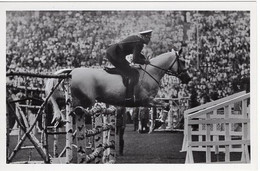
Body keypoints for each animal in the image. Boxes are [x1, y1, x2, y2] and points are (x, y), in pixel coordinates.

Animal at [45, 49, 190, 124]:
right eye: (182, 61)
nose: (188, 78)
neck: (151, 72)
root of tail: (72, 71)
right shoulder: (146, 100)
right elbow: (166, 105)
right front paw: (159, 122)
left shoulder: (147, 101)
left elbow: (166, 106)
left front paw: (159, 121)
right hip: (84, 100)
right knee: (64, 105)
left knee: (60, 103)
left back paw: (58, 119)